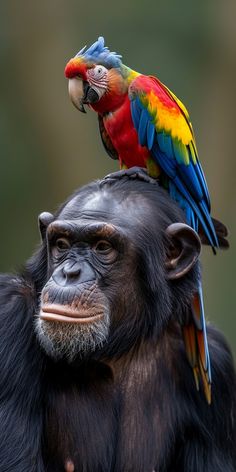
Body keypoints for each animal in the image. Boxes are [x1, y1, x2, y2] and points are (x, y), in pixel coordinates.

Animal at [0, 175, 235, 470]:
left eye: (102, 247)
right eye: (62, 245)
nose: (69, 273)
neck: (118, 350)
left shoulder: (219, 368)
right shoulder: (8, 312)